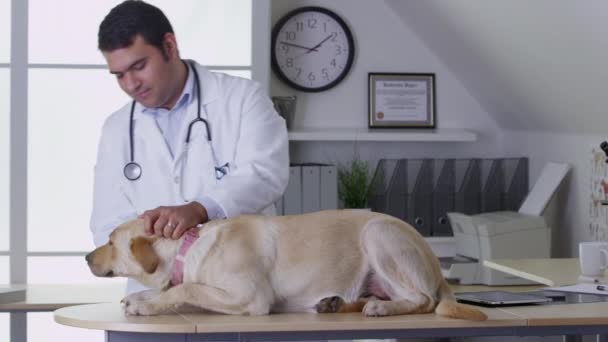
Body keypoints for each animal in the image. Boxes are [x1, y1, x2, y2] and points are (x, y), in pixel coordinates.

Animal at [85, 208, 486, 320]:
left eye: (110, 241)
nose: (86, 256)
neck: (189, 248)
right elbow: (181, 290)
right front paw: (141, 299)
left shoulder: (249, 297)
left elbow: (186, 288)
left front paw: (145, 304)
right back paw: (336, 303)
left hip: (378, 233)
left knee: (424, 299)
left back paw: (380, 308)